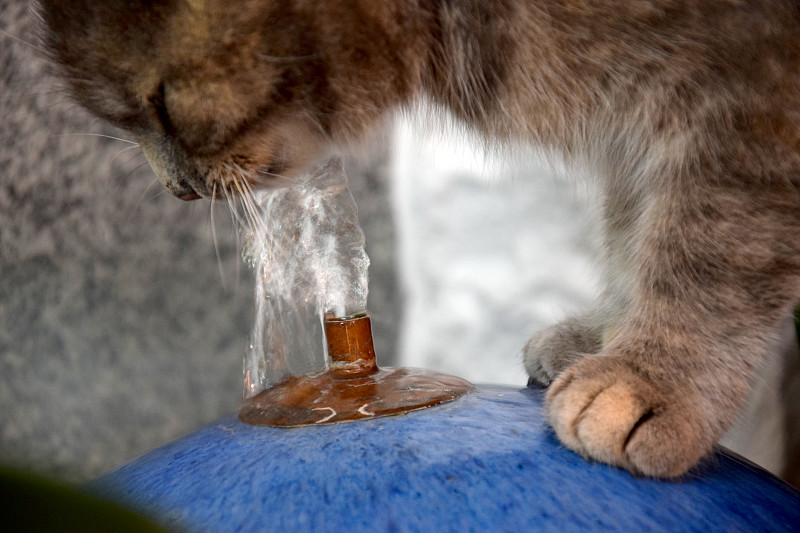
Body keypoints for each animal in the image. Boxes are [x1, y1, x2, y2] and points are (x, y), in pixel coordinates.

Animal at [40, 0, 800, 478]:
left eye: (160, 106)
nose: (178, 189)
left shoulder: (746, 90)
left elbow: (709, 249)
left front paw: (649, 376)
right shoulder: (638, 118)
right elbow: (632, 225)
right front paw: (607, 334)